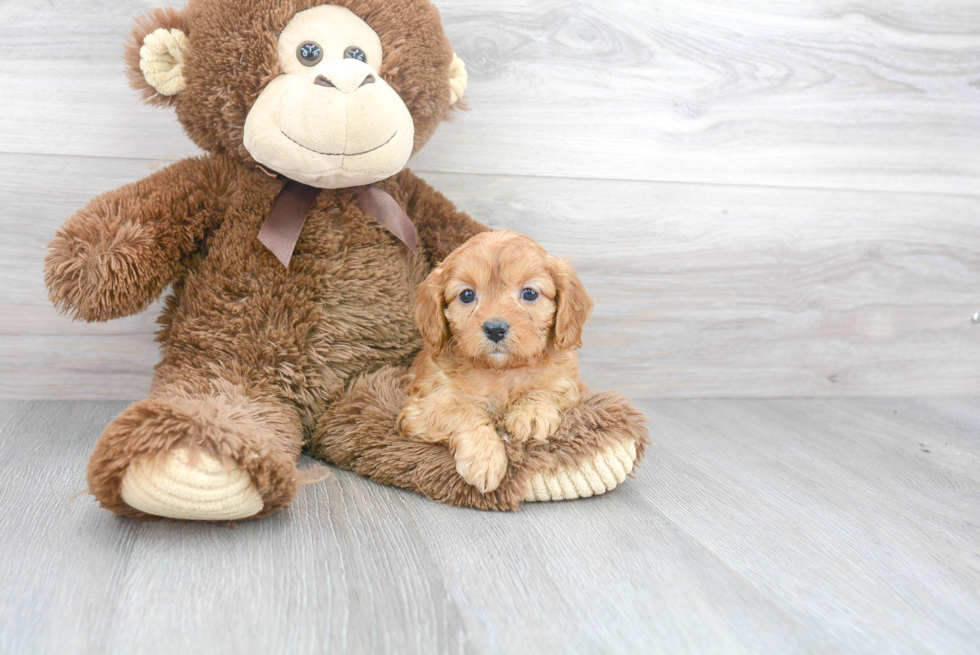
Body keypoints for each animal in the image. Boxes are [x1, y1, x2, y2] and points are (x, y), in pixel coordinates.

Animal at [396, 231, 592, 492]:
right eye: (467, 295)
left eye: (529, 293)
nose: (495, 329)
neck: (501, 371)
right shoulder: (420, 408)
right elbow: (466, 410)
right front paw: (485, 458)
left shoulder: (572, 386)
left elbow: (547, 390)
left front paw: (531, 413)